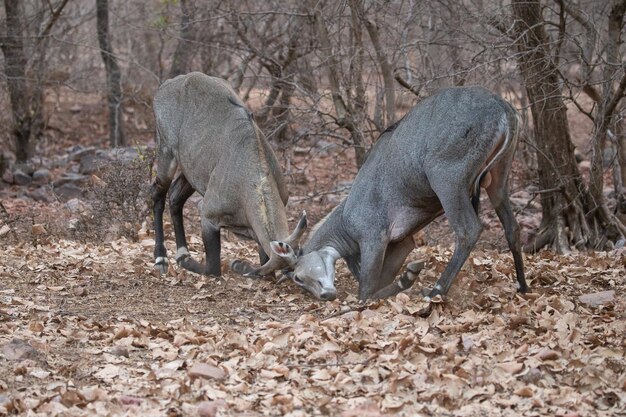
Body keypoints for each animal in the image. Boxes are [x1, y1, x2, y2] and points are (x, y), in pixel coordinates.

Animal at [152, 72, 306, 276]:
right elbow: (213, 268)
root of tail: (165, 87)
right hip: (166, 154)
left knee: (176, 196)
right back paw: (161, 258)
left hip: (191, 172)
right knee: (157, 194)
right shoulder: (207, 214)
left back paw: (182, 251)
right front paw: (186, 262)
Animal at [268, 85, 528, 300]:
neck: (344, 221)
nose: (325, 295)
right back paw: (523, 286)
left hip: (448, 181)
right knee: (512, 227)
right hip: (498, 179)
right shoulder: (403, 242)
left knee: (468, 230)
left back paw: (435, 291)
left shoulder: (374, 237)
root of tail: (504, 109)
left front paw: (407, 278)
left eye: (298, 276)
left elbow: (366, 292)